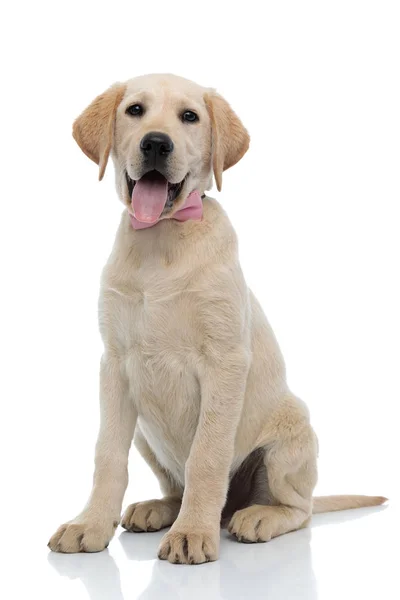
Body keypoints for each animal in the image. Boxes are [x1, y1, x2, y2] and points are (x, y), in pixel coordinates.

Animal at [48, 74, 386, 564]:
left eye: (189, 116)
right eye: (135, 110)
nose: (156, 143)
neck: (162, 239)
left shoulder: (225, 362)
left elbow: (206, 457)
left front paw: (192, 533)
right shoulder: (114, 364)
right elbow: (107, 455)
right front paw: (89, 524)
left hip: (289, 440)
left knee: (299, 509)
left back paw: (257, 516)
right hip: (146, 435)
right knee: (177, 485)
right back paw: (159, 508)